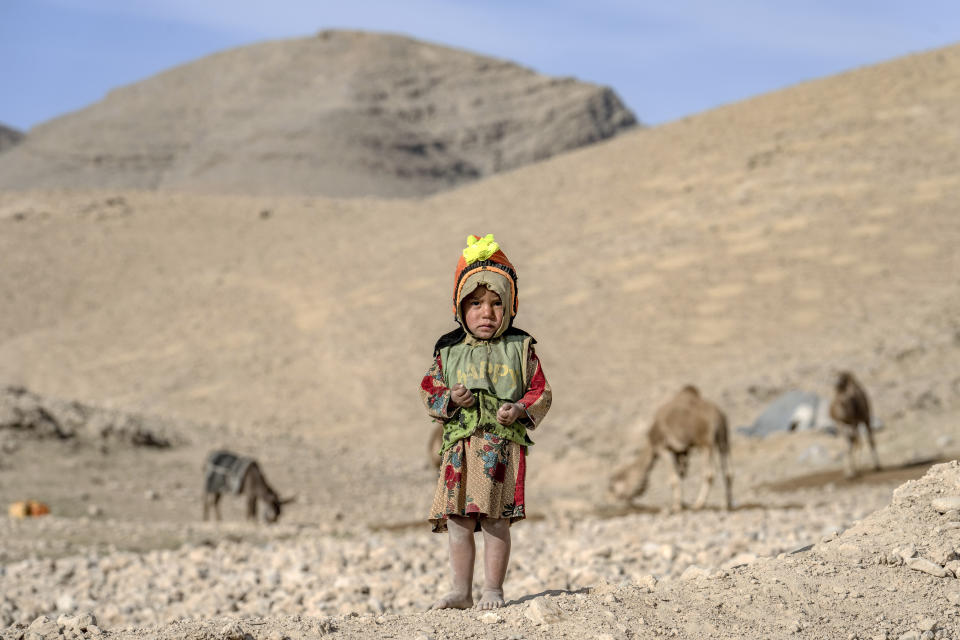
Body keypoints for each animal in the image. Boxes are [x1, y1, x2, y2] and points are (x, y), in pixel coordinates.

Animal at [612, 382, 732, 512]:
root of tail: (718, 416)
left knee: (709, 473)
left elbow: (674, 478)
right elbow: (681, 474)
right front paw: (682, 503)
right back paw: (726, 505)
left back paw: (698, 504)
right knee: (728, 472)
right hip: (723, 439)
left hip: (705, 442)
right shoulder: (681, 450)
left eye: (616, 487)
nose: (618, 500)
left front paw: (676, 506)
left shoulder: (663, 447)